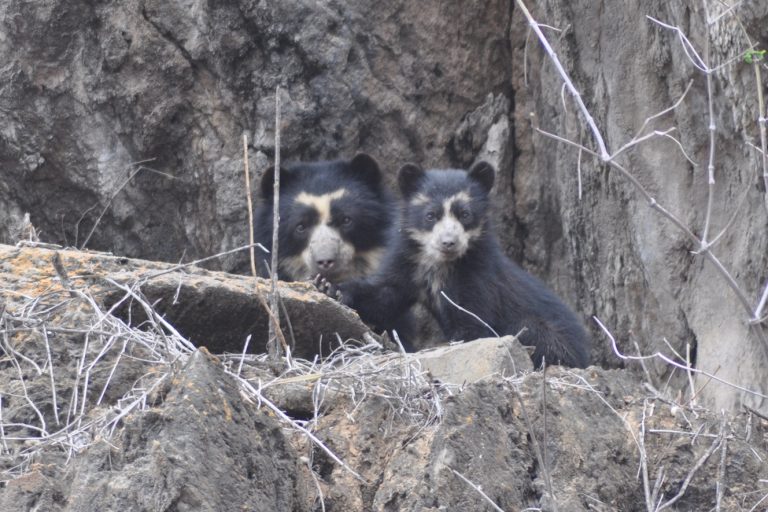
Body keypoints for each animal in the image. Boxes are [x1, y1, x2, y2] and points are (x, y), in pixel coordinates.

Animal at [317, 160, 591, 368]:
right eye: (431, 215)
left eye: (465, 214)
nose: (448, 242)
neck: (440, 264)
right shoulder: (408, 263)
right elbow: (384, 294)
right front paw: (329, 287)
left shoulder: (478, 275)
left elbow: (474, 321)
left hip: (553, 338)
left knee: (533, 331)